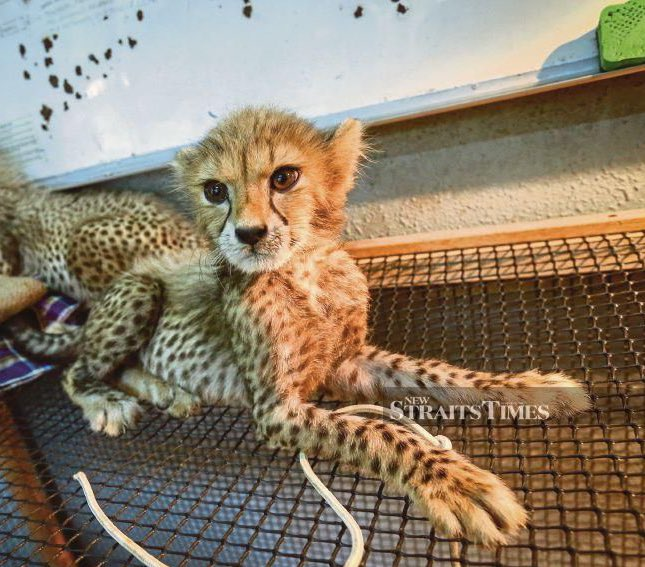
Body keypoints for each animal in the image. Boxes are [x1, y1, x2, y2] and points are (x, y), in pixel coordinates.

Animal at [14, 107, 590, 547]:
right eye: (215, 190)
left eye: (284, 177)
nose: (248, 233)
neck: (303, 269)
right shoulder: (276, 410)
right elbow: (379, 431)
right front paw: (454, 483)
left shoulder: (349, 362)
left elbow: (437, 374)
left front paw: (527, 387)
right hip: (138, 290)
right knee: (77, 371)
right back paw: (111, 402)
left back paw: (167, 391)